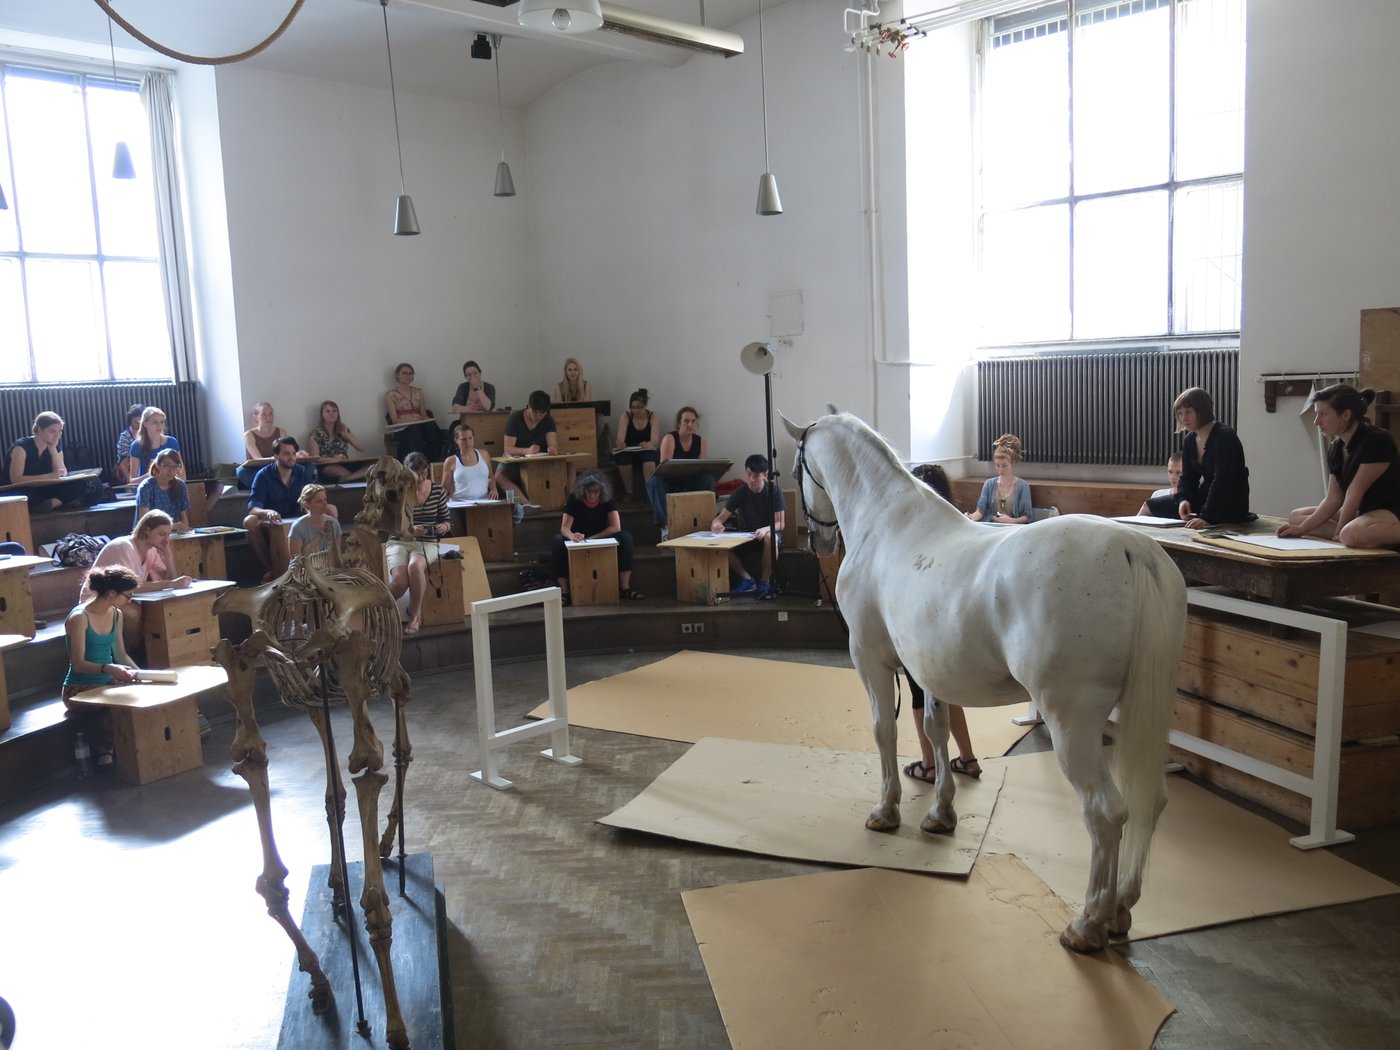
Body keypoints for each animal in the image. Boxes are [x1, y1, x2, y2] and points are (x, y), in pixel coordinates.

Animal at [784, 411, 1187, 952]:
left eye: (796, 469)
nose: (819, 542)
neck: (887, 523)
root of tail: (1133, 547)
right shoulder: (928, 668)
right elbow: (936, 731)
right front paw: (940, 814)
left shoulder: (871, 660)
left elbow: (885, 731)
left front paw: (886, 811)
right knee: (1151, 802)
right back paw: (1121, 909)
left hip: (1072, 721)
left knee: (1106, 813)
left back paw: (1088, 924)